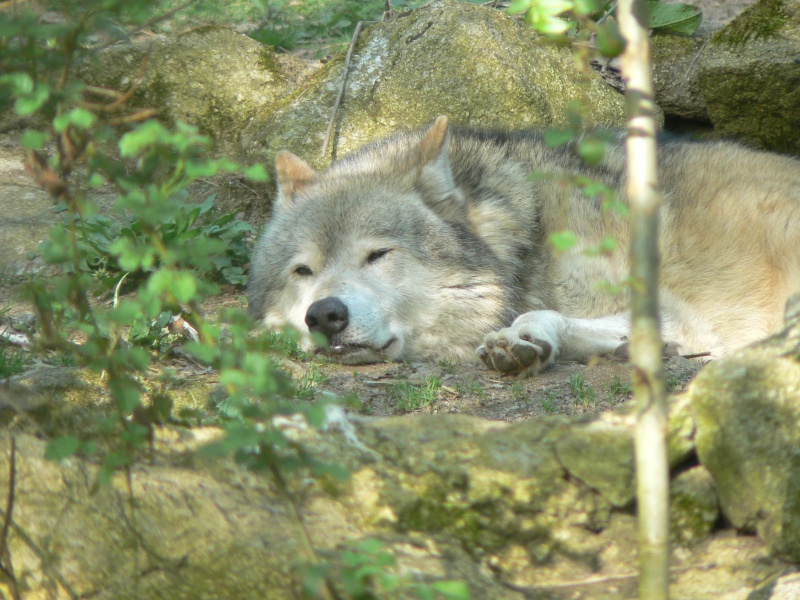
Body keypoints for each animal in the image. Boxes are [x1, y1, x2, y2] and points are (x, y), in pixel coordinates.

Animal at [248, 116, 800, 376]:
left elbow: (541, 316)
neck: (528, 236)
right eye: (303, 271)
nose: (324, 315)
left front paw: (521, 335)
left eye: (377, 255)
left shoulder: (677, 312)